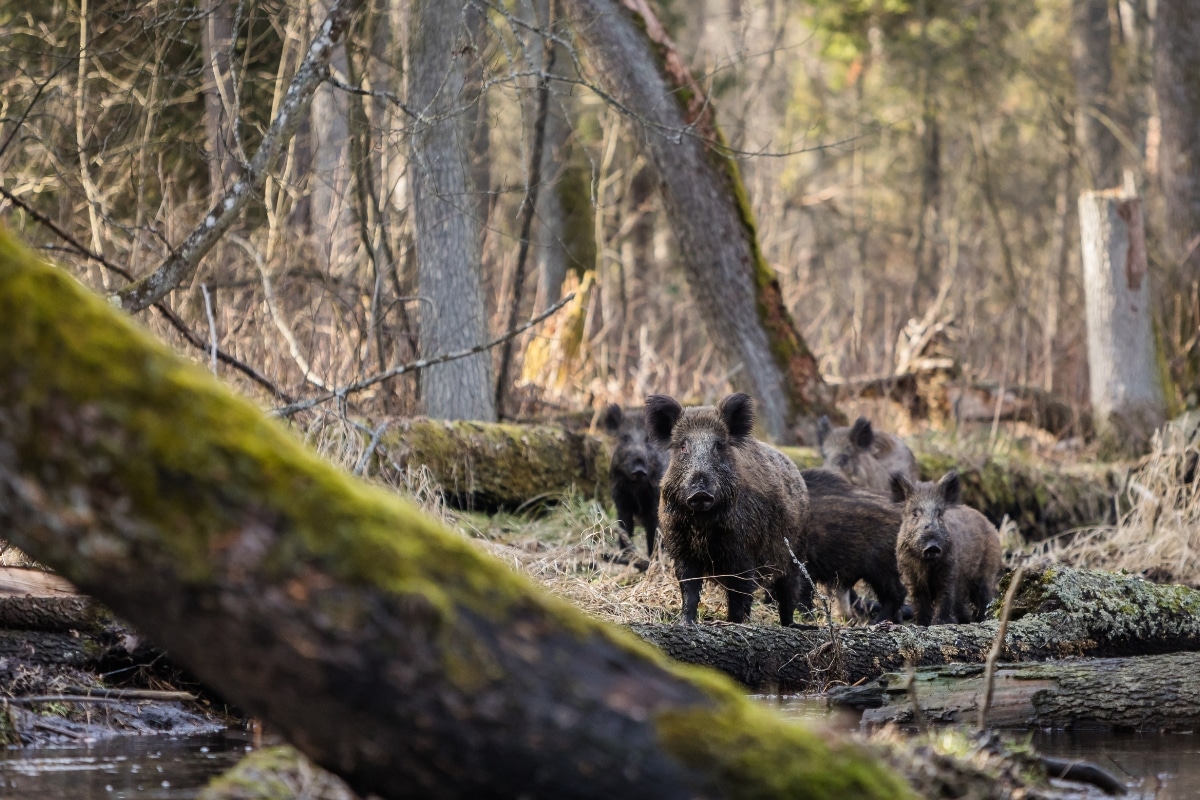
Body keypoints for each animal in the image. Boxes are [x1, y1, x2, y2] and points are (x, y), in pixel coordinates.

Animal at [601, 404, 667, 559]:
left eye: (648, 439)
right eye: (625, 438)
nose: (639, 469)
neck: (636, 488)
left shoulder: (655, 503)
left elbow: (653, 532)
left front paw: (653, 559)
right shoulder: (621, 502)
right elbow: (625, 528)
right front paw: (625, 556)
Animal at [646, 392, 810, 626]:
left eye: (718, 446)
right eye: (683, 446)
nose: (700, 492)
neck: (702, 524)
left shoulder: (743, 552)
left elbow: (739, 592)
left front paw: (733, 623)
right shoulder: (682, 549)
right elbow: (689, 588)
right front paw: (685, 623)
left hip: (794, 552)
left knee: (788, 590)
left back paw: (790, 625)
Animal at [891, 470, 1002, 626]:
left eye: (939, 514)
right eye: (914, 514)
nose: (932, 546)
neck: (926, 565)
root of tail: (991, 525)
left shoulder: (950, 572)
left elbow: (945, 598)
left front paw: (940, 623)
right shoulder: (910, 577)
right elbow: (919, 603)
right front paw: (922, 624)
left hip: (987, 572)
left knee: (986, 599)